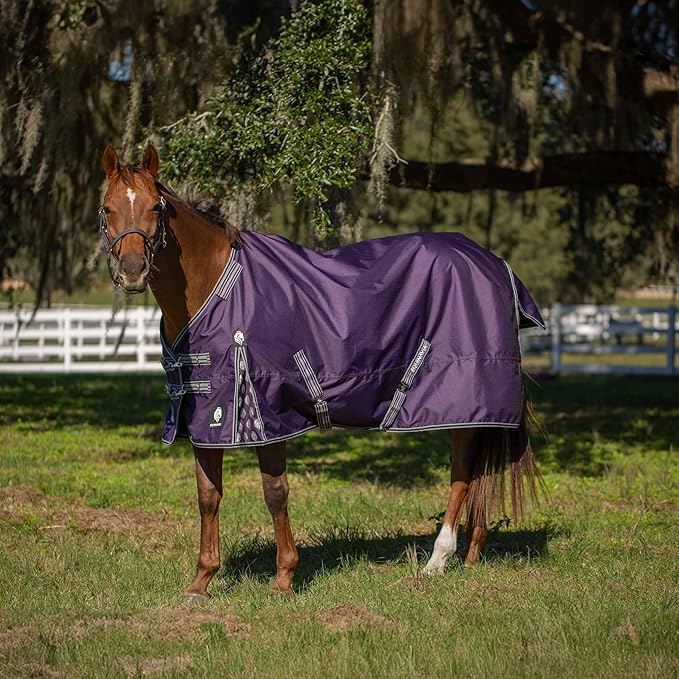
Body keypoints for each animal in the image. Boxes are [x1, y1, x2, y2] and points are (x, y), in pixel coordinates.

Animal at [100, 144, 544, 601]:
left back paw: (437, 559)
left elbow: (275, 493)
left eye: (156, 206)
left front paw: (283, 578)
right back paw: (471, 552)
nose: (132, 270)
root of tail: (493, 262)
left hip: (459, 403)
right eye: (106, 208)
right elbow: (208, 496)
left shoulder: (268, 414)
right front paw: (202, 581)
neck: (217, 290)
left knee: (461, 471)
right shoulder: (204, 416)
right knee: (476, 472)